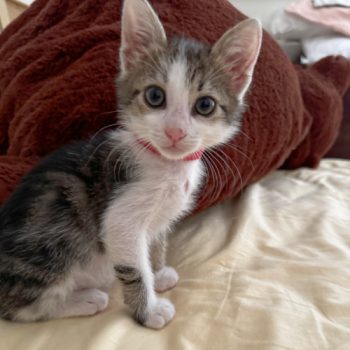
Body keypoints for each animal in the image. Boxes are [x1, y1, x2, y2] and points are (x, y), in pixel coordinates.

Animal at [0, 0, 262, 328]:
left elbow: (155, 242)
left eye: (205, 105)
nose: (175, 131)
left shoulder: (159, 219)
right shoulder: (119, 221)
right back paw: (84, 299)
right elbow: (134, 268)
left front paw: (158, 272)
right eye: (155, 96)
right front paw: (149, 309)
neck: (167, 166)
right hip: (54, 241)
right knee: (20, 307)